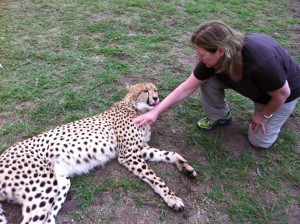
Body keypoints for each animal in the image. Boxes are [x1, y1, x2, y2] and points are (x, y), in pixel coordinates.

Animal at [0, 83, 197, 223]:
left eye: (155, 89)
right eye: (145, 91)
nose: (156, 98)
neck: (134, 107)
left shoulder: (140, 149)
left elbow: (169, 154)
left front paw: (185, 167)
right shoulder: (129, 154)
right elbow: (156, 178)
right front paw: (172, 198)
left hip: (61, 184)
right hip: (43, 188)